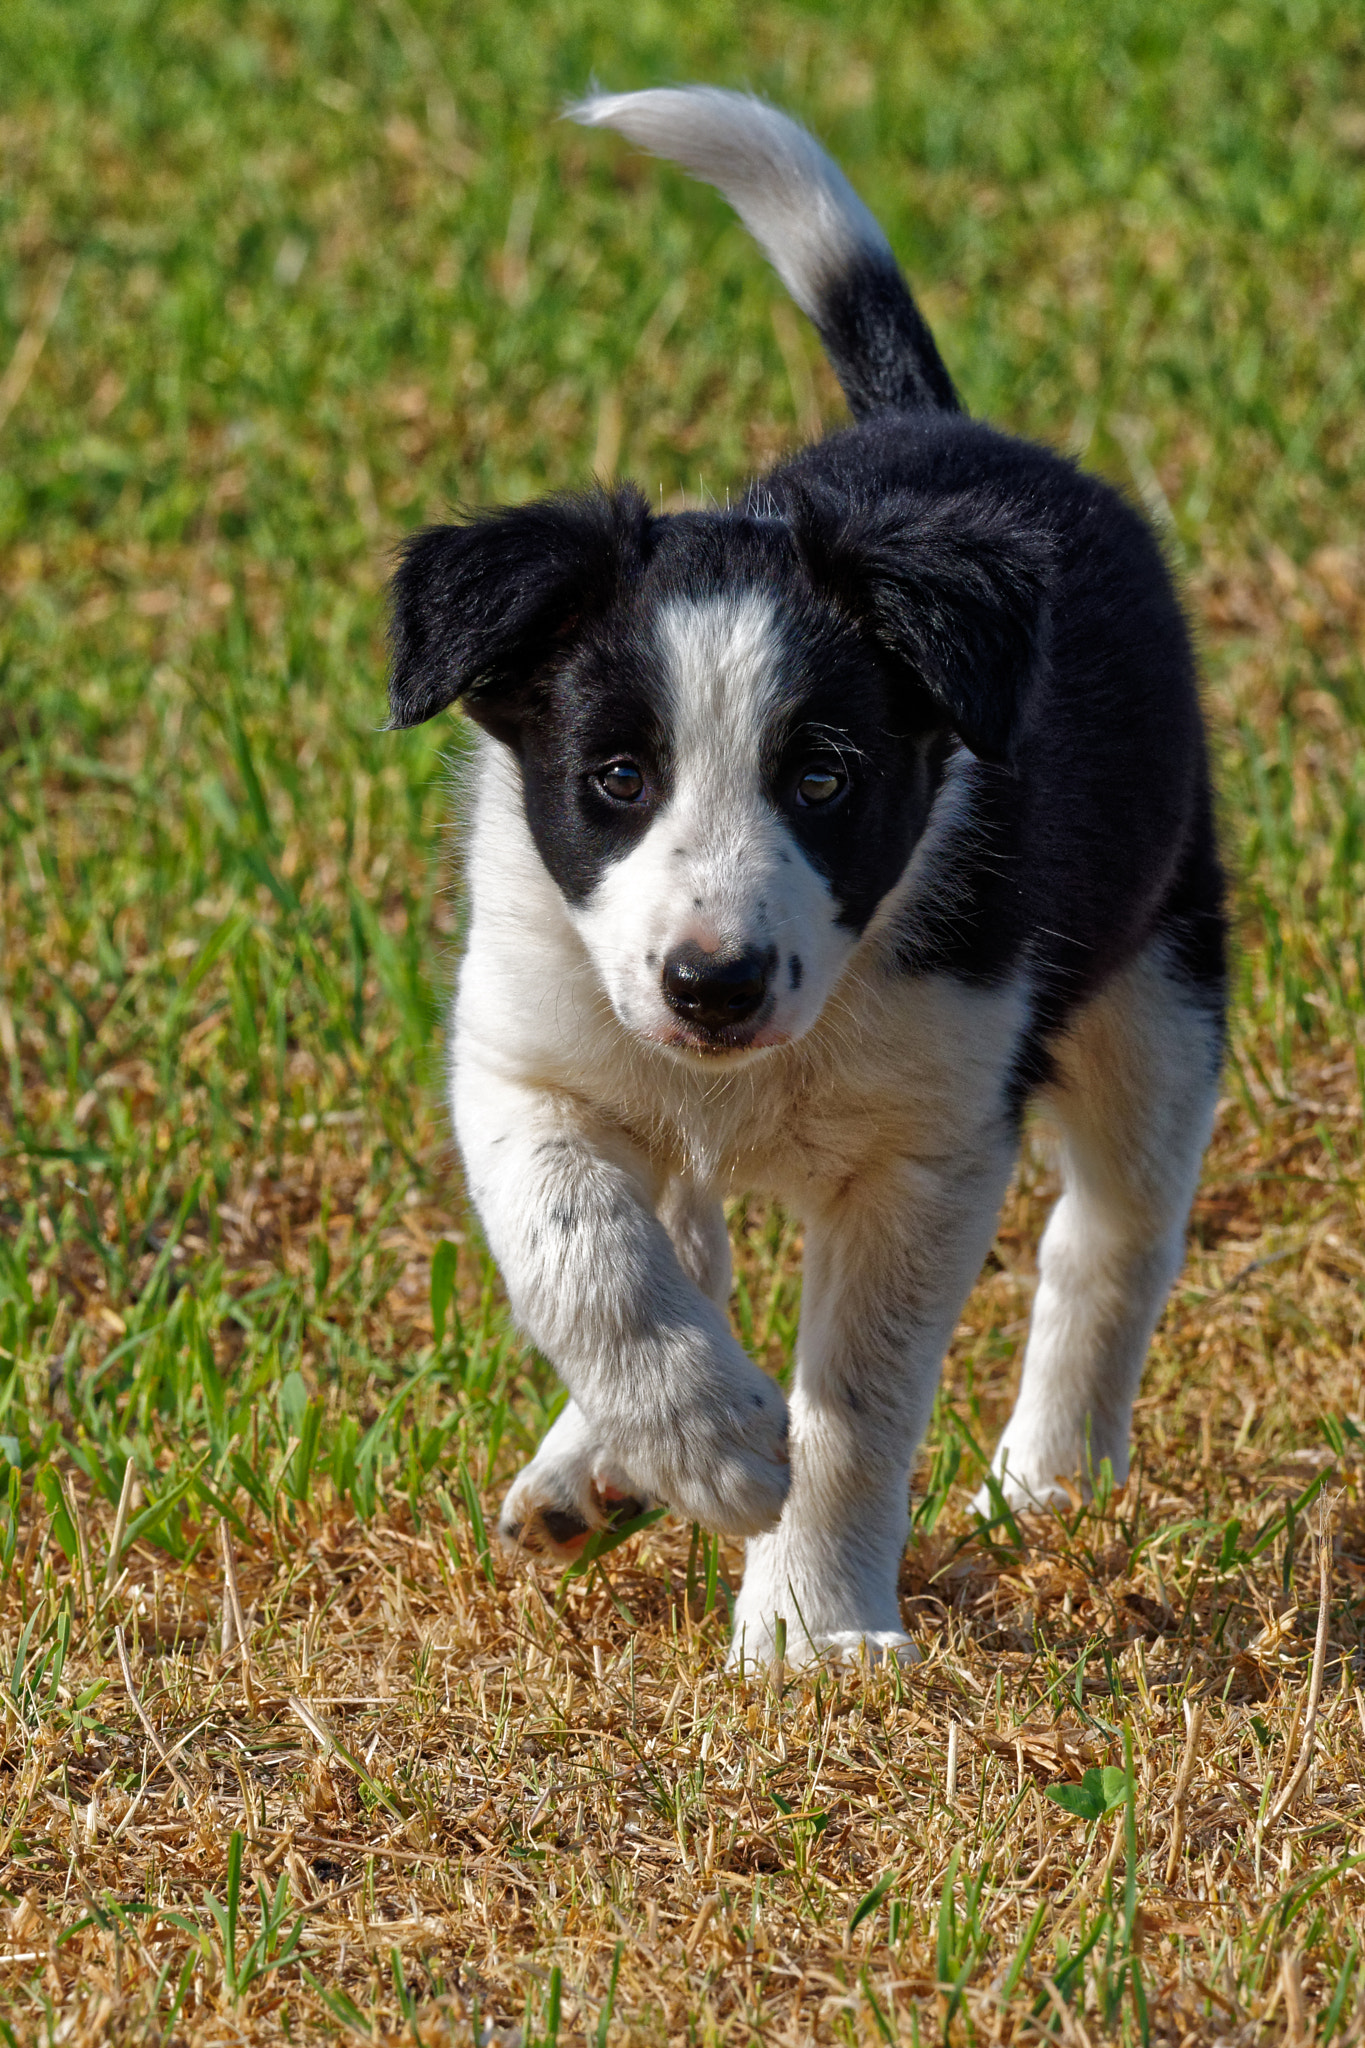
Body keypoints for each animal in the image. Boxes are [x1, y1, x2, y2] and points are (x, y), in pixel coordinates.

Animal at [386, 88, 1227, 1671]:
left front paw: (806, 1623)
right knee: (687, 1242)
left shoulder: (928, 1149)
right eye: (617, 776)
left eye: (824, 777)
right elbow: (590, 1258)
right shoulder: (531, 1058)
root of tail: (934, 425)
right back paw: (593, 1467)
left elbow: (856, 1407)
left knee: (1113, 1236)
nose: (710, 986)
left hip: (1160, 984)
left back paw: (1052, 1476)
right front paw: (706, 1446)